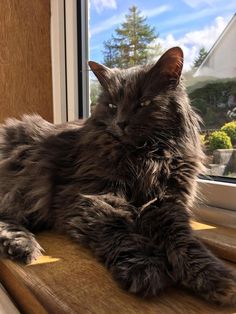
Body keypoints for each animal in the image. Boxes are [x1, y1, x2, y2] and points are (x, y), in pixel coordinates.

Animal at [0, 47, 236, 306]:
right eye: (113, 106)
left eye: (144, 103)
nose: (121, 123)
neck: (145, 156)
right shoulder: (91, 196)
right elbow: (119, 230)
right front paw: (145, 267)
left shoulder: (165, 202)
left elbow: (183, 240)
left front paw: (210, 275)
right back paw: (24, 246)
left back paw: (19, 245)